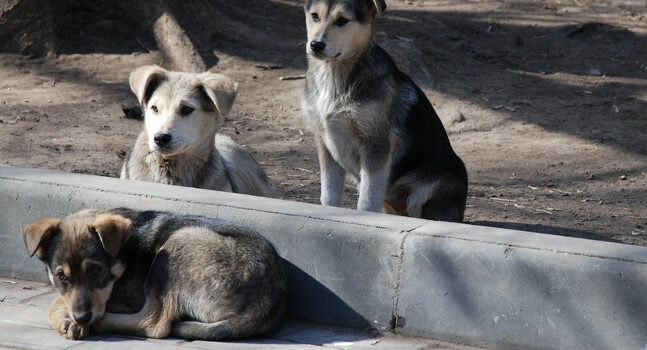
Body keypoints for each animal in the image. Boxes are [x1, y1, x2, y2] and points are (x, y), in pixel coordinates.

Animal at [23, 209, 286, 340]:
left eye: (95, 270)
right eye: (62, 276)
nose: (82, 318)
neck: (126, 250)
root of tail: (267, 301)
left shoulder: (124, 295)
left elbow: (56, 302)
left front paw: (67, 320)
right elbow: (61, 297)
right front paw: (68, 319)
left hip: (178, 243)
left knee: (154, 323)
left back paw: (101, 324)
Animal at [302, 0, 468, 221]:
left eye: (342, 20)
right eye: (314, 16)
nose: (316, 45)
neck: (334, 75)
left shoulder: (376, 147)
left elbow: (367, 201)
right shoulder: (324, 145)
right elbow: (328, 196)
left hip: (434, 183)